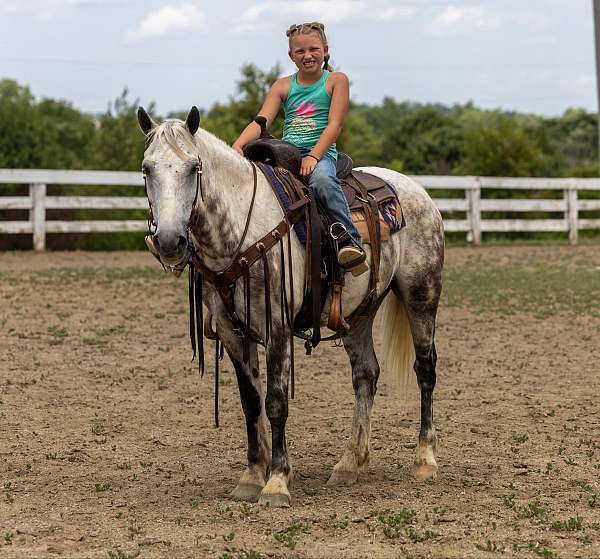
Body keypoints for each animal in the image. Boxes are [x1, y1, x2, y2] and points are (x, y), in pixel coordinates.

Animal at [138, 107, 442, 510]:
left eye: (193, 167)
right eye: (147, 168)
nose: (170, 242)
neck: (240, 229)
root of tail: (418, 192)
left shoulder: (277, 325)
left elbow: (276, 401)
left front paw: (277, 482)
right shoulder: (231, 331)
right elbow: (251, 402)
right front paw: (252, 476)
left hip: (421, 294)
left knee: (425, 370)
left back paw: (424, 460)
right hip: (359, 311)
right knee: (366, 374)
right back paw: (350, 463)